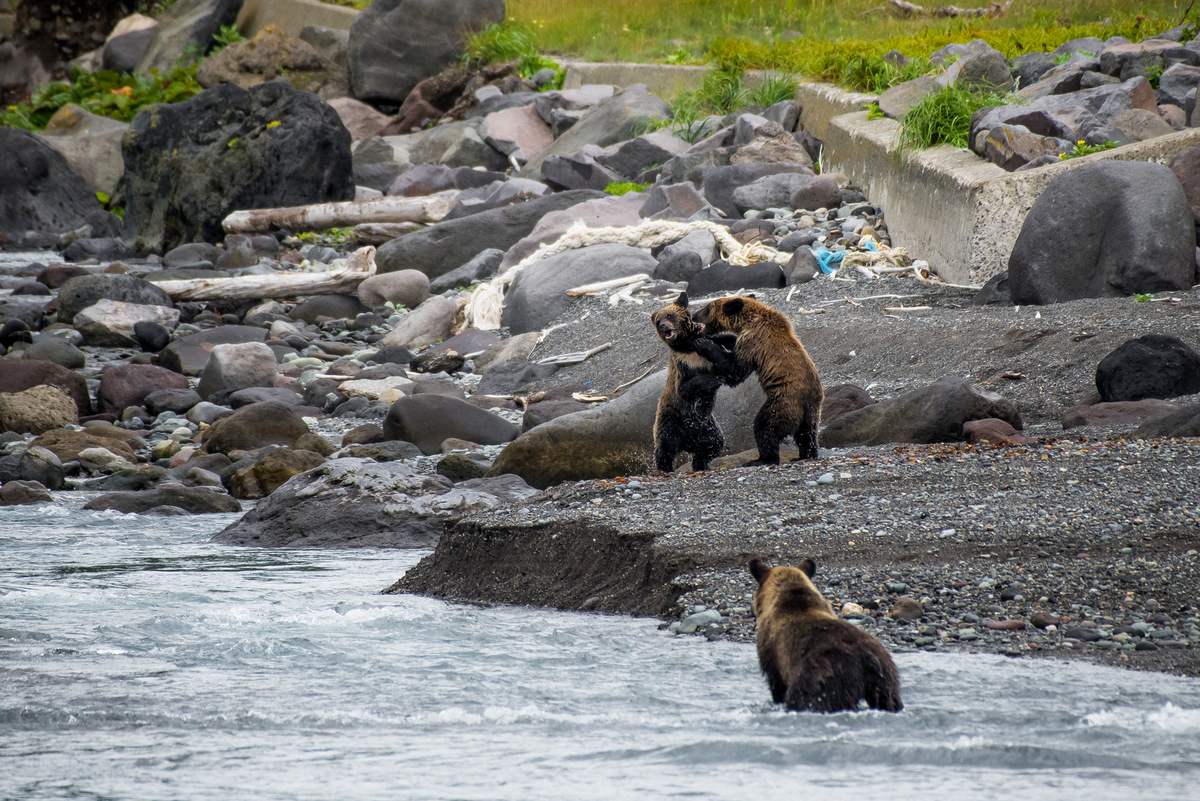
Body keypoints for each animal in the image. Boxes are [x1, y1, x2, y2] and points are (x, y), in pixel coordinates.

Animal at [652, 291, 734, 472]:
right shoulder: (682, 365)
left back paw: (700, 465)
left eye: (670, 315)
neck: (688, 346)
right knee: (665, 447)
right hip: (671, 419)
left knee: (713, 444)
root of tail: (688, 443)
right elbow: (686, 386)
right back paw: (665, 468)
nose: (663, 326)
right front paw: (713, 380)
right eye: (658, 321)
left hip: (707, 427)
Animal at [696, 297, 825, 465]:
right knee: (806, 435)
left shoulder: (753, 341)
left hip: (784, 401)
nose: (693, 314)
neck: (746, 322)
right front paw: (720, 338)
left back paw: (763, 459)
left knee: (765, 426)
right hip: (812, 412)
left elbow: (735, 370)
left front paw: (705, 344)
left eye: (706, 309)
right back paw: (804, 455)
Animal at [744, 556, 902, 714]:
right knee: (889, 701)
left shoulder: (773, 653)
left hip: (825, 677)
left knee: (806, 698)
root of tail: (868, 661)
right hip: (885, 680)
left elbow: (776, 684)